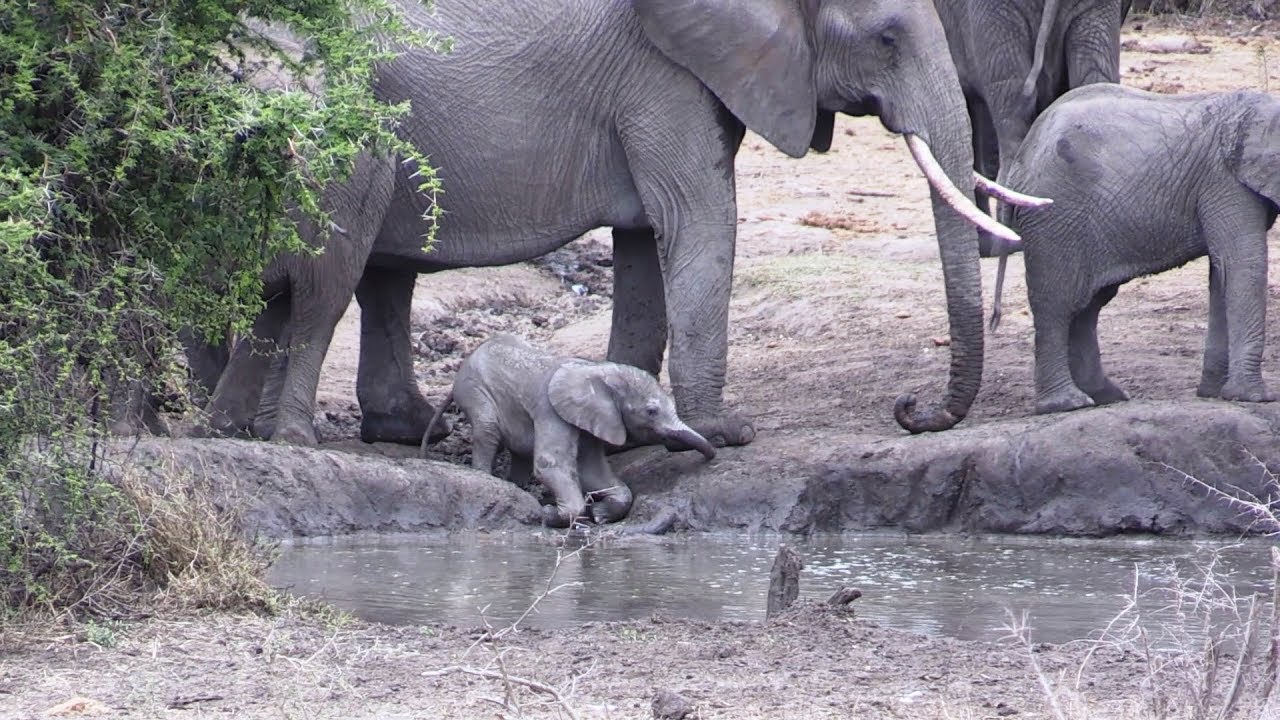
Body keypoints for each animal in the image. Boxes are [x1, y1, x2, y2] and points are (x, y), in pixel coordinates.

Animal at [203, 0, 1046, 447]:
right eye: (886, 37)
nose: (910, 410)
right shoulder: (659, 75)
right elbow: (700, 220)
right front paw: (727, 431)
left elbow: (646, 242)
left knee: (384, 275)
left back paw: (408, 430)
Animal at [422, 333, 717, 527]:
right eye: (651, 411)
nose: (712, 454)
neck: (597, 370)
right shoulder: (551, 410)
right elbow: (549, 464)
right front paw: (550, 514)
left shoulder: (591, 419)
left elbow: (592, 472)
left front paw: (599, 515)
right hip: (473, 389)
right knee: (487, 429)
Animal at [991, 84, 1280, 414]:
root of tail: (1021, 157)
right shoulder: (1225, 181)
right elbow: (1243, 265)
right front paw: (1255, 397)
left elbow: (1222, 274)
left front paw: (1213, 392)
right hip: (1053, 216)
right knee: (1057, 303)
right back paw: (1067, 404)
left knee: (1088, 304)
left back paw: (1104, 396)